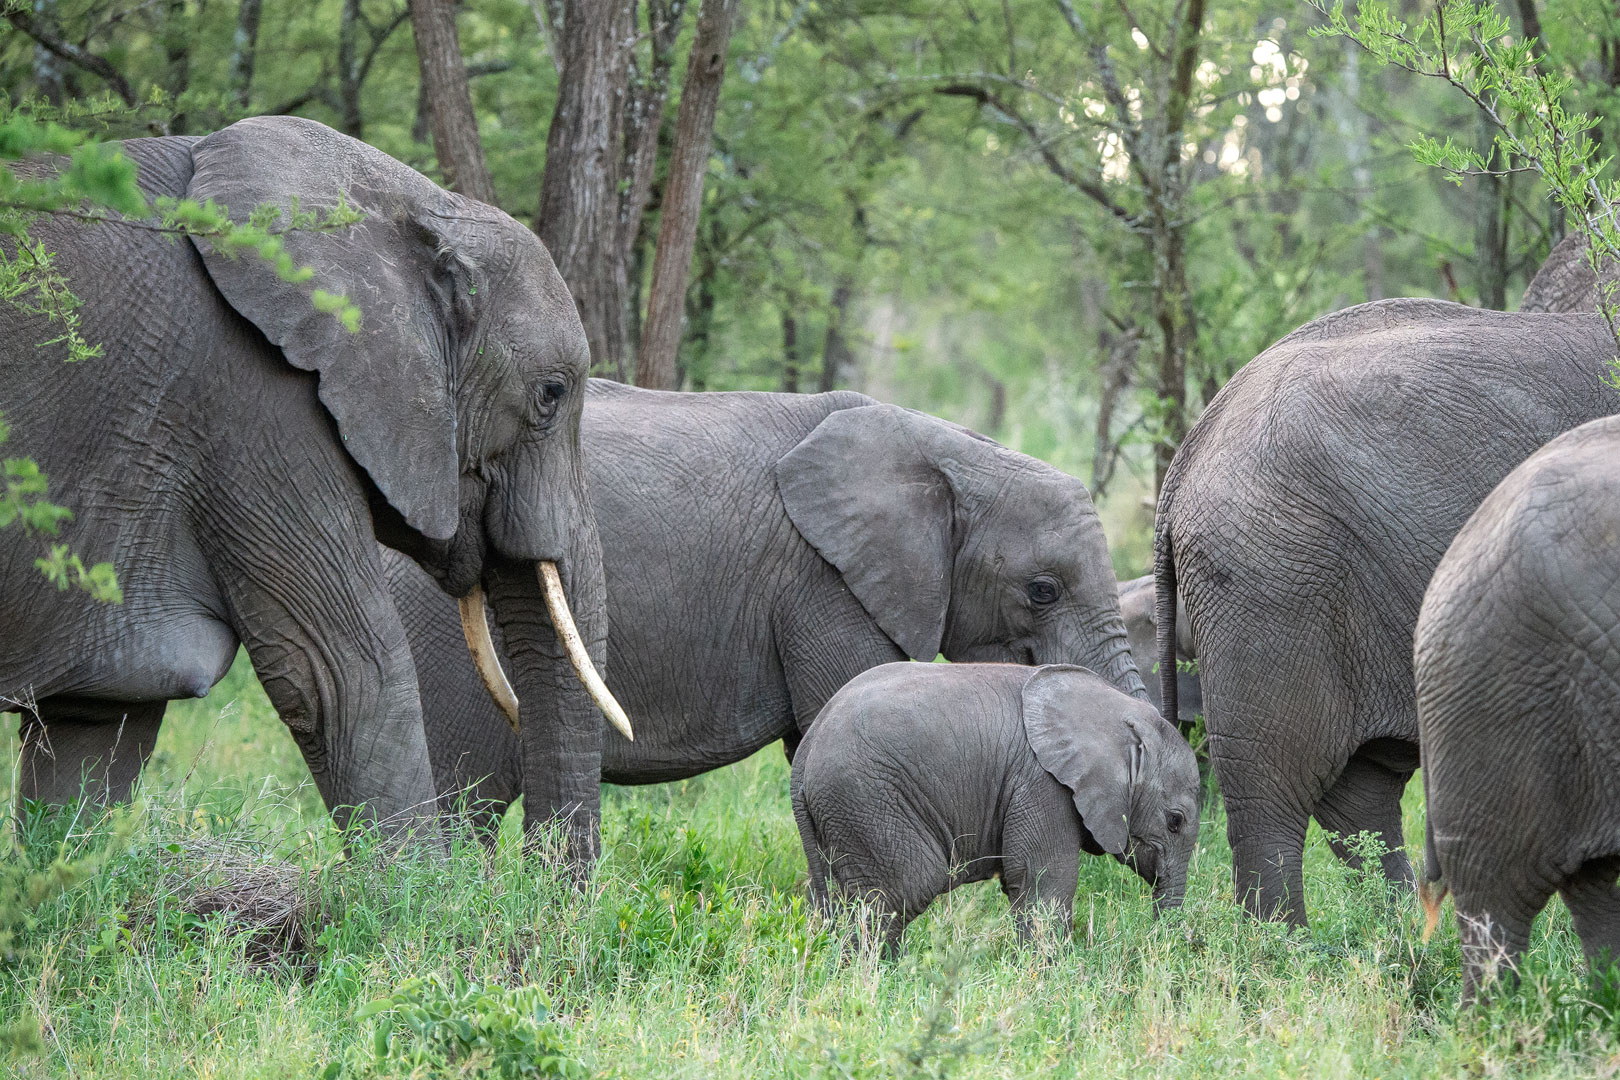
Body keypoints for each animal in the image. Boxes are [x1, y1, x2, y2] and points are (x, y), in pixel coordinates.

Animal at [0, 120, 628, 861]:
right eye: (550, 396)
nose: (542, 887)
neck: (408, 204)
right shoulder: (254, 408)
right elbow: (345, 675)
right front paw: (420, 892)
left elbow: (98, 722)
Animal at [790, 660, 1198, 952]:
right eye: (1174, 821)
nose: (1160, 943)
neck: (1113, 710)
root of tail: (805, 750)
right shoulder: (1041, 783)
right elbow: (1042, 881)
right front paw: (1051, 975)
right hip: (866, 800)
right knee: (902, 890)